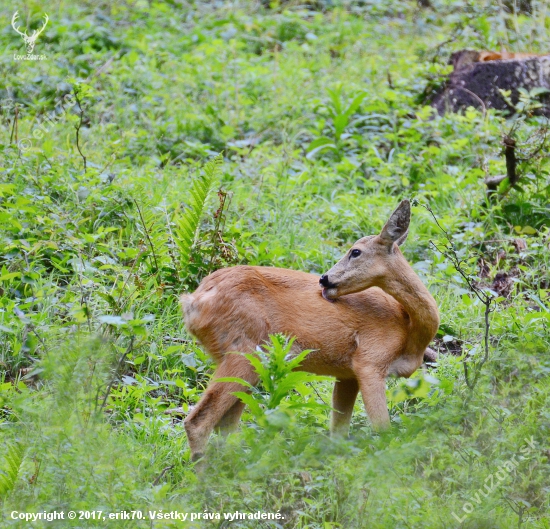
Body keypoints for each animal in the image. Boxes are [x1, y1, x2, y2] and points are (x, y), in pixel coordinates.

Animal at [181, 200, 440, 460]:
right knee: (199, 421)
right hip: (243, 351)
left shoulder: (347, 373)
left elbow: (338, 433)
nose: (324, 279)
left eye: (355, 252)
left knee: (227, 426)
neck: (408, 329)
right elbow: (383, 430)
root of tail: (194, 302)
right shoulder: (370, 361)